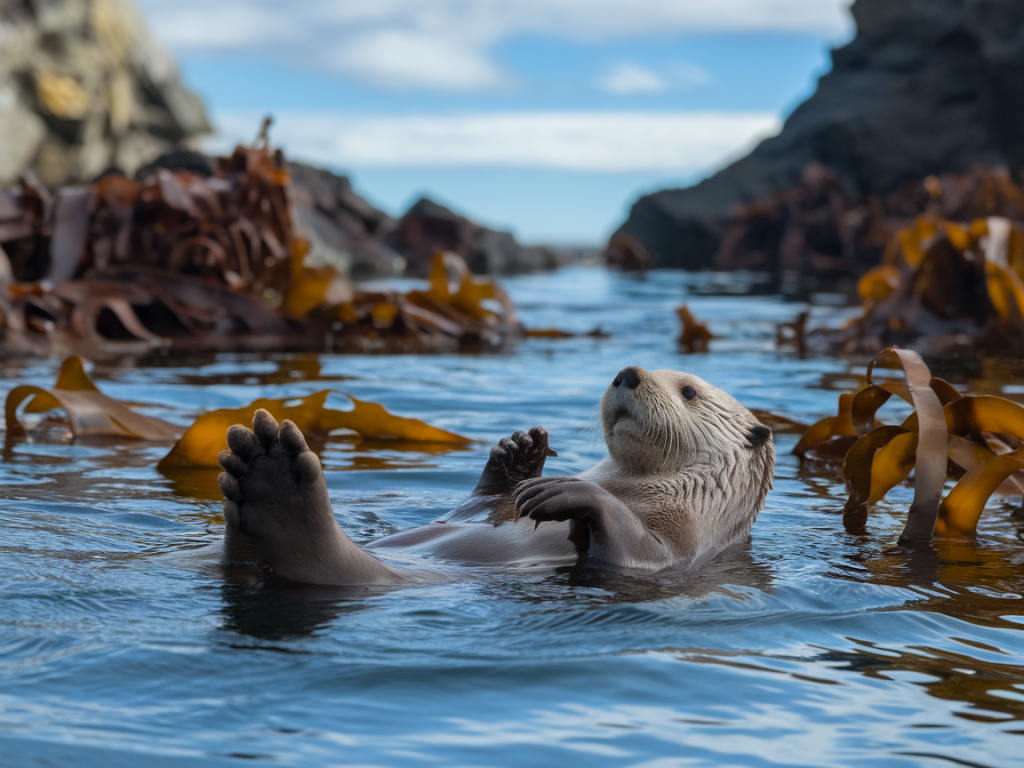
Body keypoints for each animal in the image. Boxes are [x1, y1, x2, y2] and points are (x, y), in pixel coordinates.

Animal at [216, 366, 775, 586]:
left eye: (688, 391)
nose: (628, 373)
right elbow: (480, 504)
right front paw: (519, 451)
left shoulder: (682, 546)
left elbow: (631, 549)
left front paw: (564, 489)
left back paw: (278, 485)